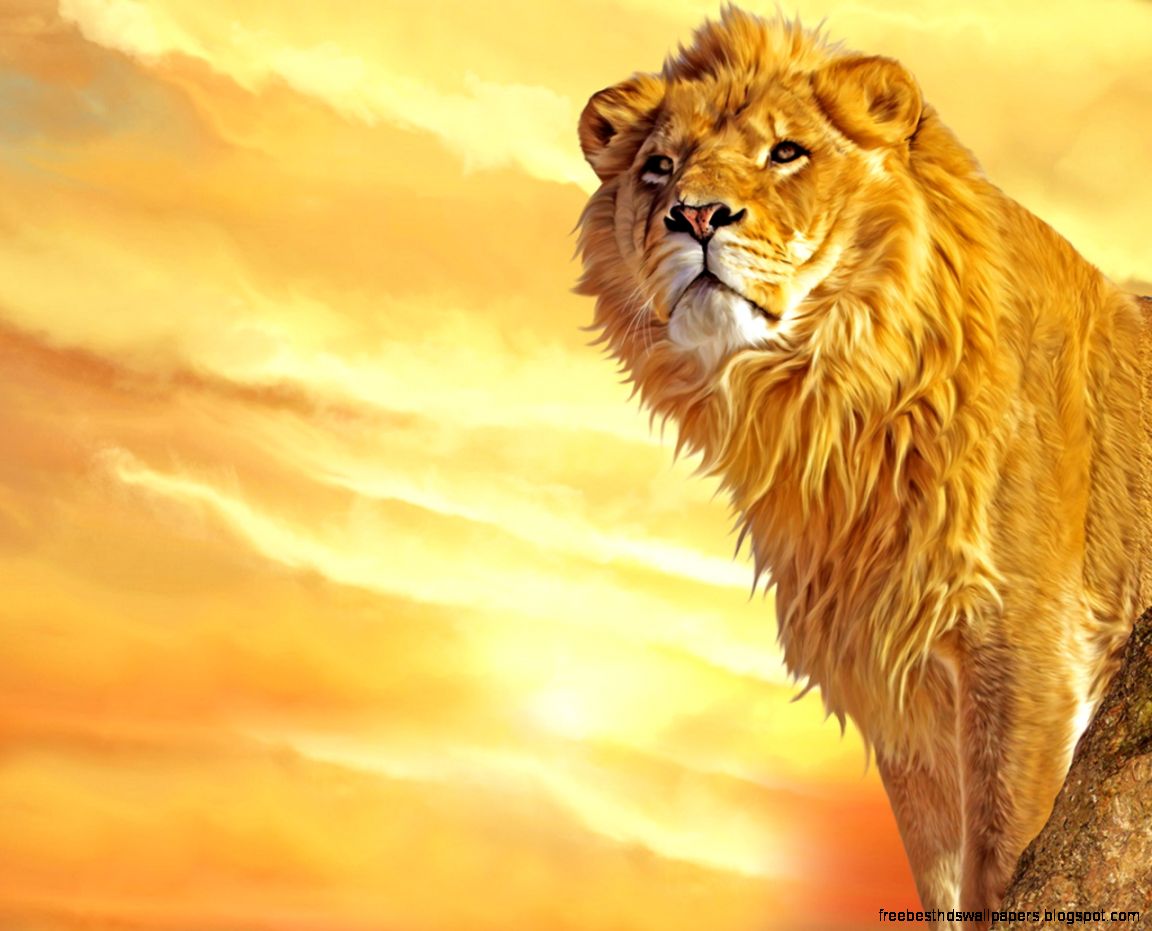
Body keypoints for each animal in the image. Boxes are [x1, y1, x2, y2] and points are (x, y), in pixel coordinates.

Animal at [574, 8, 1152, 926]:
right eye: (658, 168)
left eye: (786, 151)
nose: (694, 216)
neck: (827, 405)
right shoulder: (899, 685)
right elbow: (944, 875)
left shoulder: (1029, 647)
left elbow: (1004, 850)